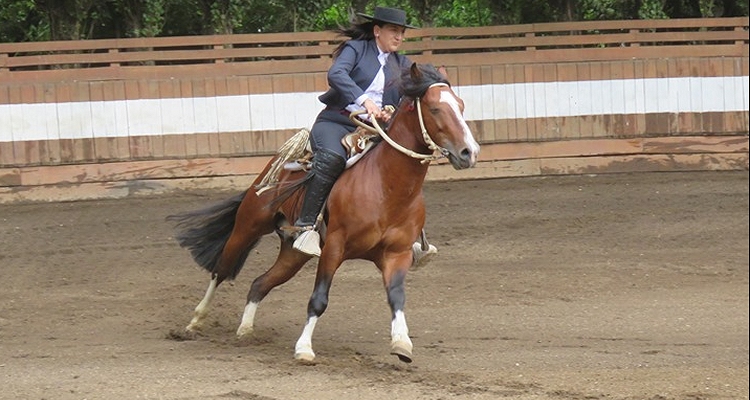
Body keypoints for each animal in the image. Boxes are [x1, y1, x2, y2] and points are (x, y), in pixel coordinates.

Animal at [167, 61, 478, 362]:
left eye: (462, 105)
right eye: (435, 108)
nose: (469, 152)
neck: (385, 186)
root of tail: (273, 168)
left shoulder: (396, 254)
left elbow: (397, 298)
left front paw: (402, 343)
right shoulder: (334, 248)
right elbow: (319, 299)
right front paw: (304, 348)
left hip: (293, 254)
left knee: (259, 283)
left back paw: (245, 330)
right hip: (248, 226)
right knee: (220, 270)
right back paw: (194, 322)